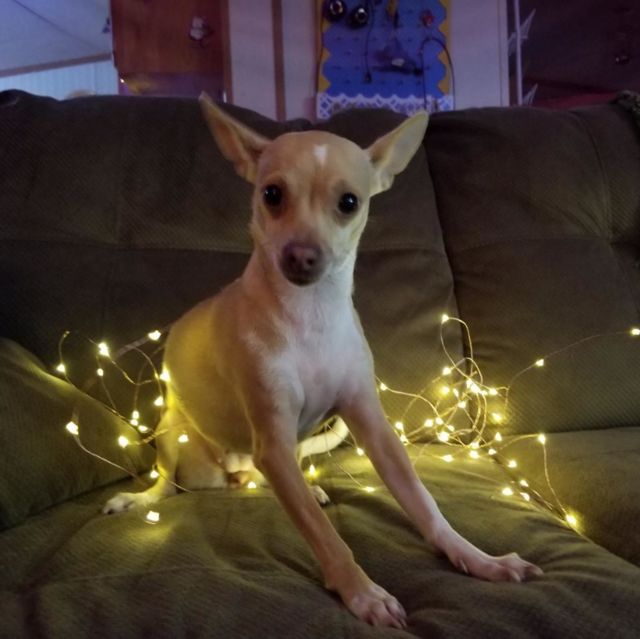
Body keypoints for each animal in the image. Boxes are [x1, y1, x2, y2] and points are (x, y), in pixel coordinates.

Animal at [104, 95, 542, 628]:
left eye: (349, 202)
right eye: (271, 195)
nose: (301, 256)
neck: (310, 315)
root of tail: (229, 471)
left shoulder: (372, 427)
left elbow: (423, 502)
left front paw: (478, 559)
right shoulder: (272, 441)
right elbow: (325, 536)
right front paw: (363, 593)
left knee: (273, 481)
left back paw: (298, 488)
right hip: (173, 432)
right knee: (167, 486)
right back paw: (139, 497)